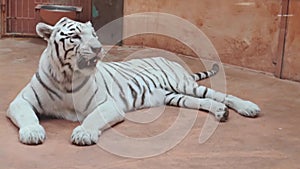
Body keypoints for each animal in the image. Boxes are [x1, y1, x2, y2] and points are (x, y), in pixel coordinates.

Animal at [7, 17, 260, 146]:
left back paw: (248, 107)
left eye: (94, 35)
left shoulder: (108, 105)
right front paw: (32, 132)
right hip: (173, 96)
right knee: (202, 102)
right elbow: (27, 115)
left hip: (184, 85)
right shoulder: (20, 101)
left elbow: (92, 118)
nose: (98, 48)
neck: (66, 75)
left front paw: (84, 134)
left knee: (221, 95)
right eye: (76, 36)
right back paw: (220, 112)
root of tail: (169, 59)